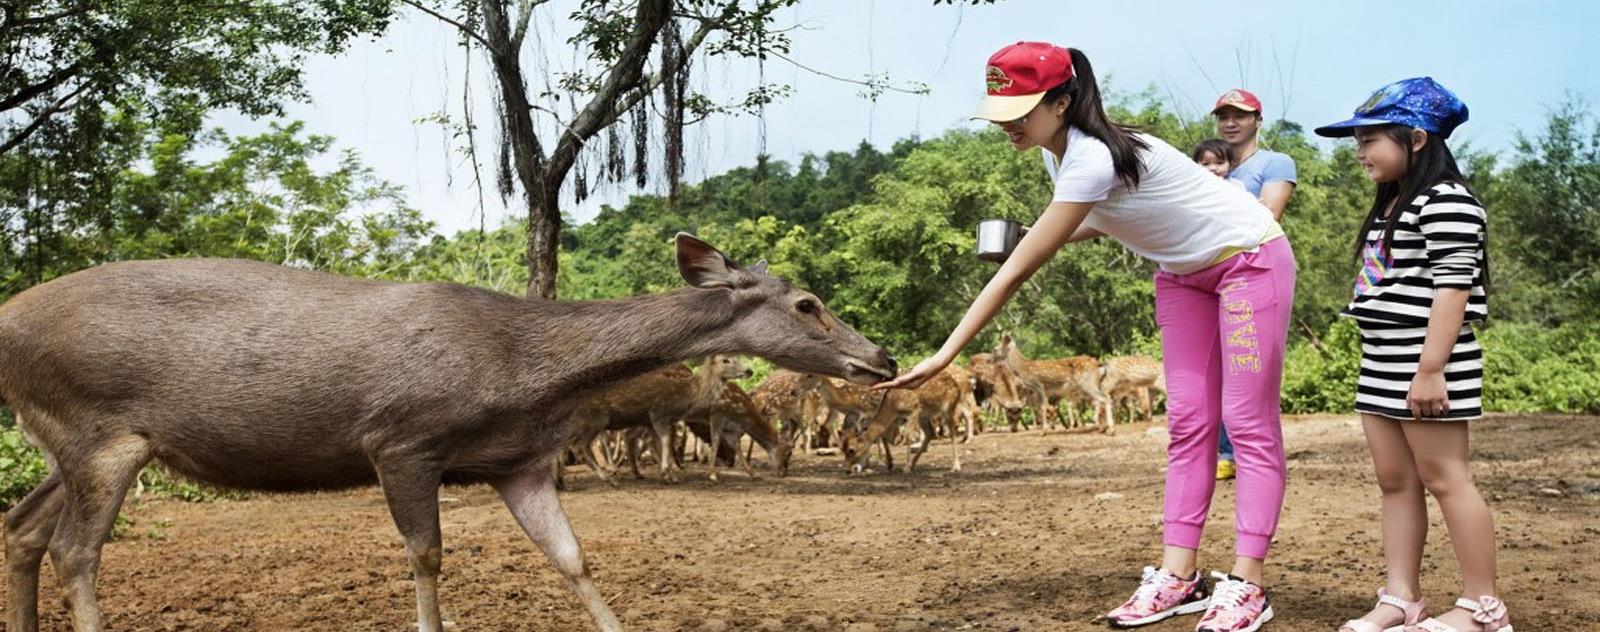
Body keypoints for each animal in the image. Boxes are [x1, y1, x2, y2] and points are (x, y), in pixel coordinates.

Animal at [0, 233, 896, 632]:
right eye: (808, 303)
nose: (881, 357)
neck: (524, 372)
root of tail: (5, 323)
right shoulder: (400, 438)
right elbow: (427, 558)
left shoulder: (520, 462)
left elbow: (572, 559)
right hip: (101, 431)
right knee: (78, 550)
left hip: (66, 440)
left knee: (24, 527)